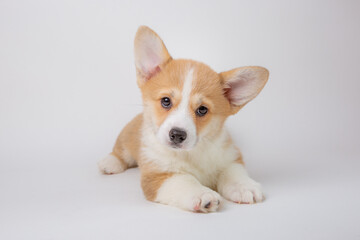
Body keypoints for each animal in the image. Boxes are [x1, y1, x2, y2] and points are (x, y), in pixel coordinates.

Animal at [97, 26, 268, 213]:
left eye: (202, 109)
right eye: (166, 101)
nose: (177, 135)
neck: (193, 153)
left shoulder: (230, 156)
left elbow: (233, 172)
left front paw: (244, 186)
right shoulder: (159, 176)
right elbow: (184, 181)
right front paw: (202, 194)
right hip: (126, 139)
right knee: (121, 152)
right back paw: (109, 162)